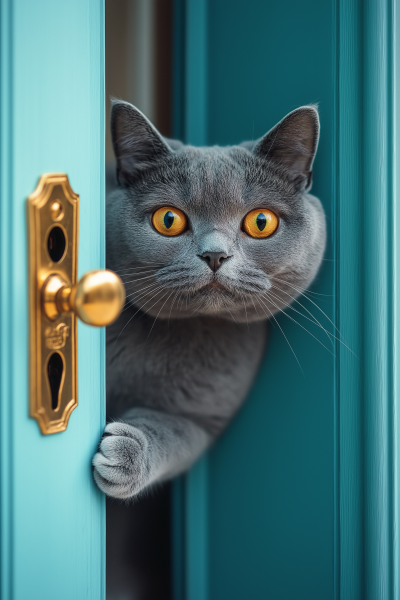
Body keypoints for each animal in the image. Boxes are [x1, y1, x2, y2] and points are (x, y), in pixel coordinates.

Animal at [92, 99, 326, 502]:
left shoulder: (202, 419)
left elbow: (174, 432)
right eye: (168, 219)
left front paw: (126, 454)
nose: (215, 255)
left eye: (261, 222)